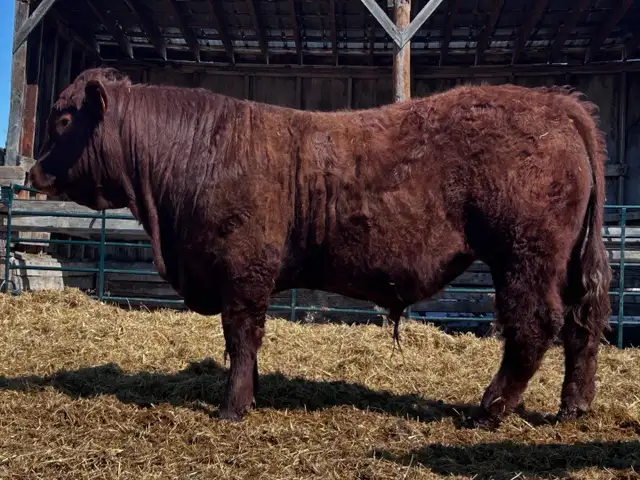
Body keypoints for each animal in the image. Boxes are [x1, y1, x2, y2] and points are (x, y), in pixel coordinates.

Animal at [27, 67, 612, 425]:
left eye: (64, 118)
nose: (33, 171)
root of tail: (557, 104)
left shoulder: (243, 273)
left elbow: (242, 338)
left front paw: (233, 407)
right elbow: (245, 345)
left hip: (524, 256)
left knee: (534, 324)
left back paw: (488, 410)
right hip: (569, 261)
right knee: (583, 323)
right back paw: (573, 407)